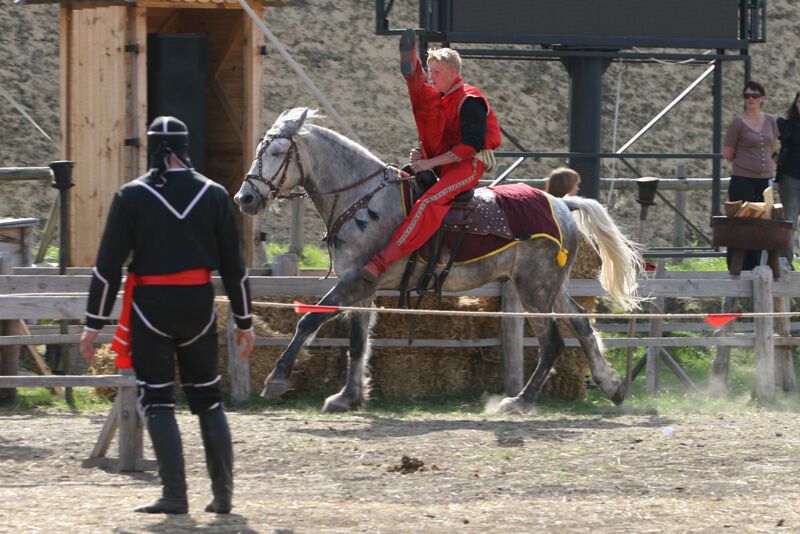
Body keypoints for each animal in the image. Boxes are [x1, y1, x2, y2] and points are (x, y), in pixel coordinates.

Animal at [234, 105, 640, 414]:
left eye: (275, 153)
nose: (245, 198)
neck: (365, 200)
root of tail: (561, 204)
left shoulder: (354, 281)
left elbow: (310, 321)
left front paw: (277, 378)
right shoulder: (362, 287)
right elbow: (357, 341)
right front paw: (348, 397)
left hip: (534, 289)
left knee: (553, 341)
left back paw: (519, 402)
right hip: (548, 286)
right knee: (581, 324)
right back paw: (612, 385)